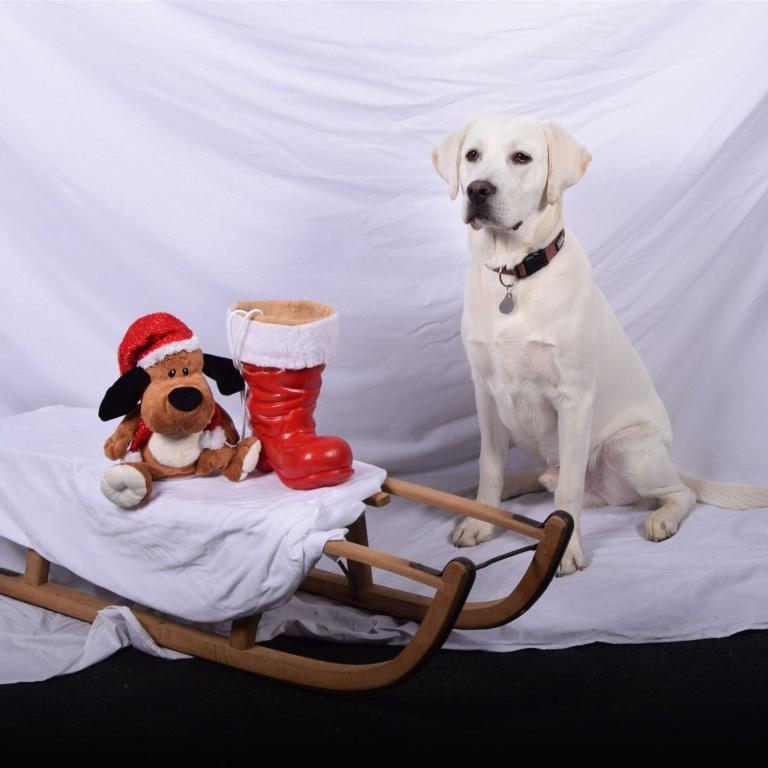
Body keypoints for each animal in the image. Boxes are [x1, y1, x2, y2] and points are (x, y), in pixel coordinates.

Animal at [431, 113, 768, 576]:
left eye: (522, 158)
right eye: (472, 156)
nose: (477, 189)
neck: (515, 275)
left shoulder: (573, 399)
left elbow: (568, 492)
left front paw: (566, 549)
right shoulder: (485, 392)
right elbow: (489, 467)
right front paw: (482, 520)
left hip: (631, 451)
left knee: (678, 492)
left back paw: (662, 518)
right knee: (541, 478)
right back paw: (504, 490)